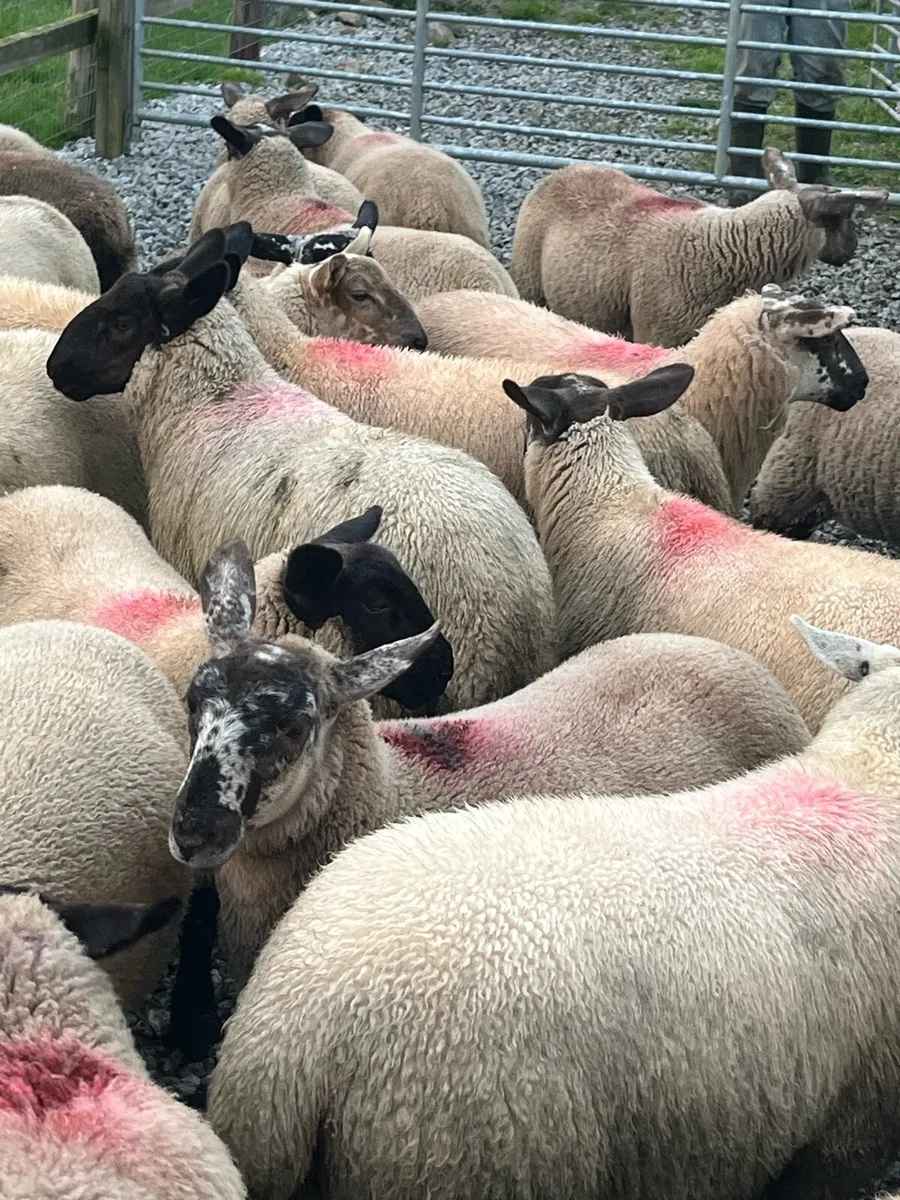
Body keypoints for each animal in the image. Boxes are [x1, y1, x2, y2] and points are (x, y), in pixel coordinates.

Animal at [511, 150, 888, 346]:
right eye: (840, 217)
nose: (852, 248)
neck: (724, 246)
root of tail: (566, 168)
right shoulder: (661, 331)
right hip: (529, 282)